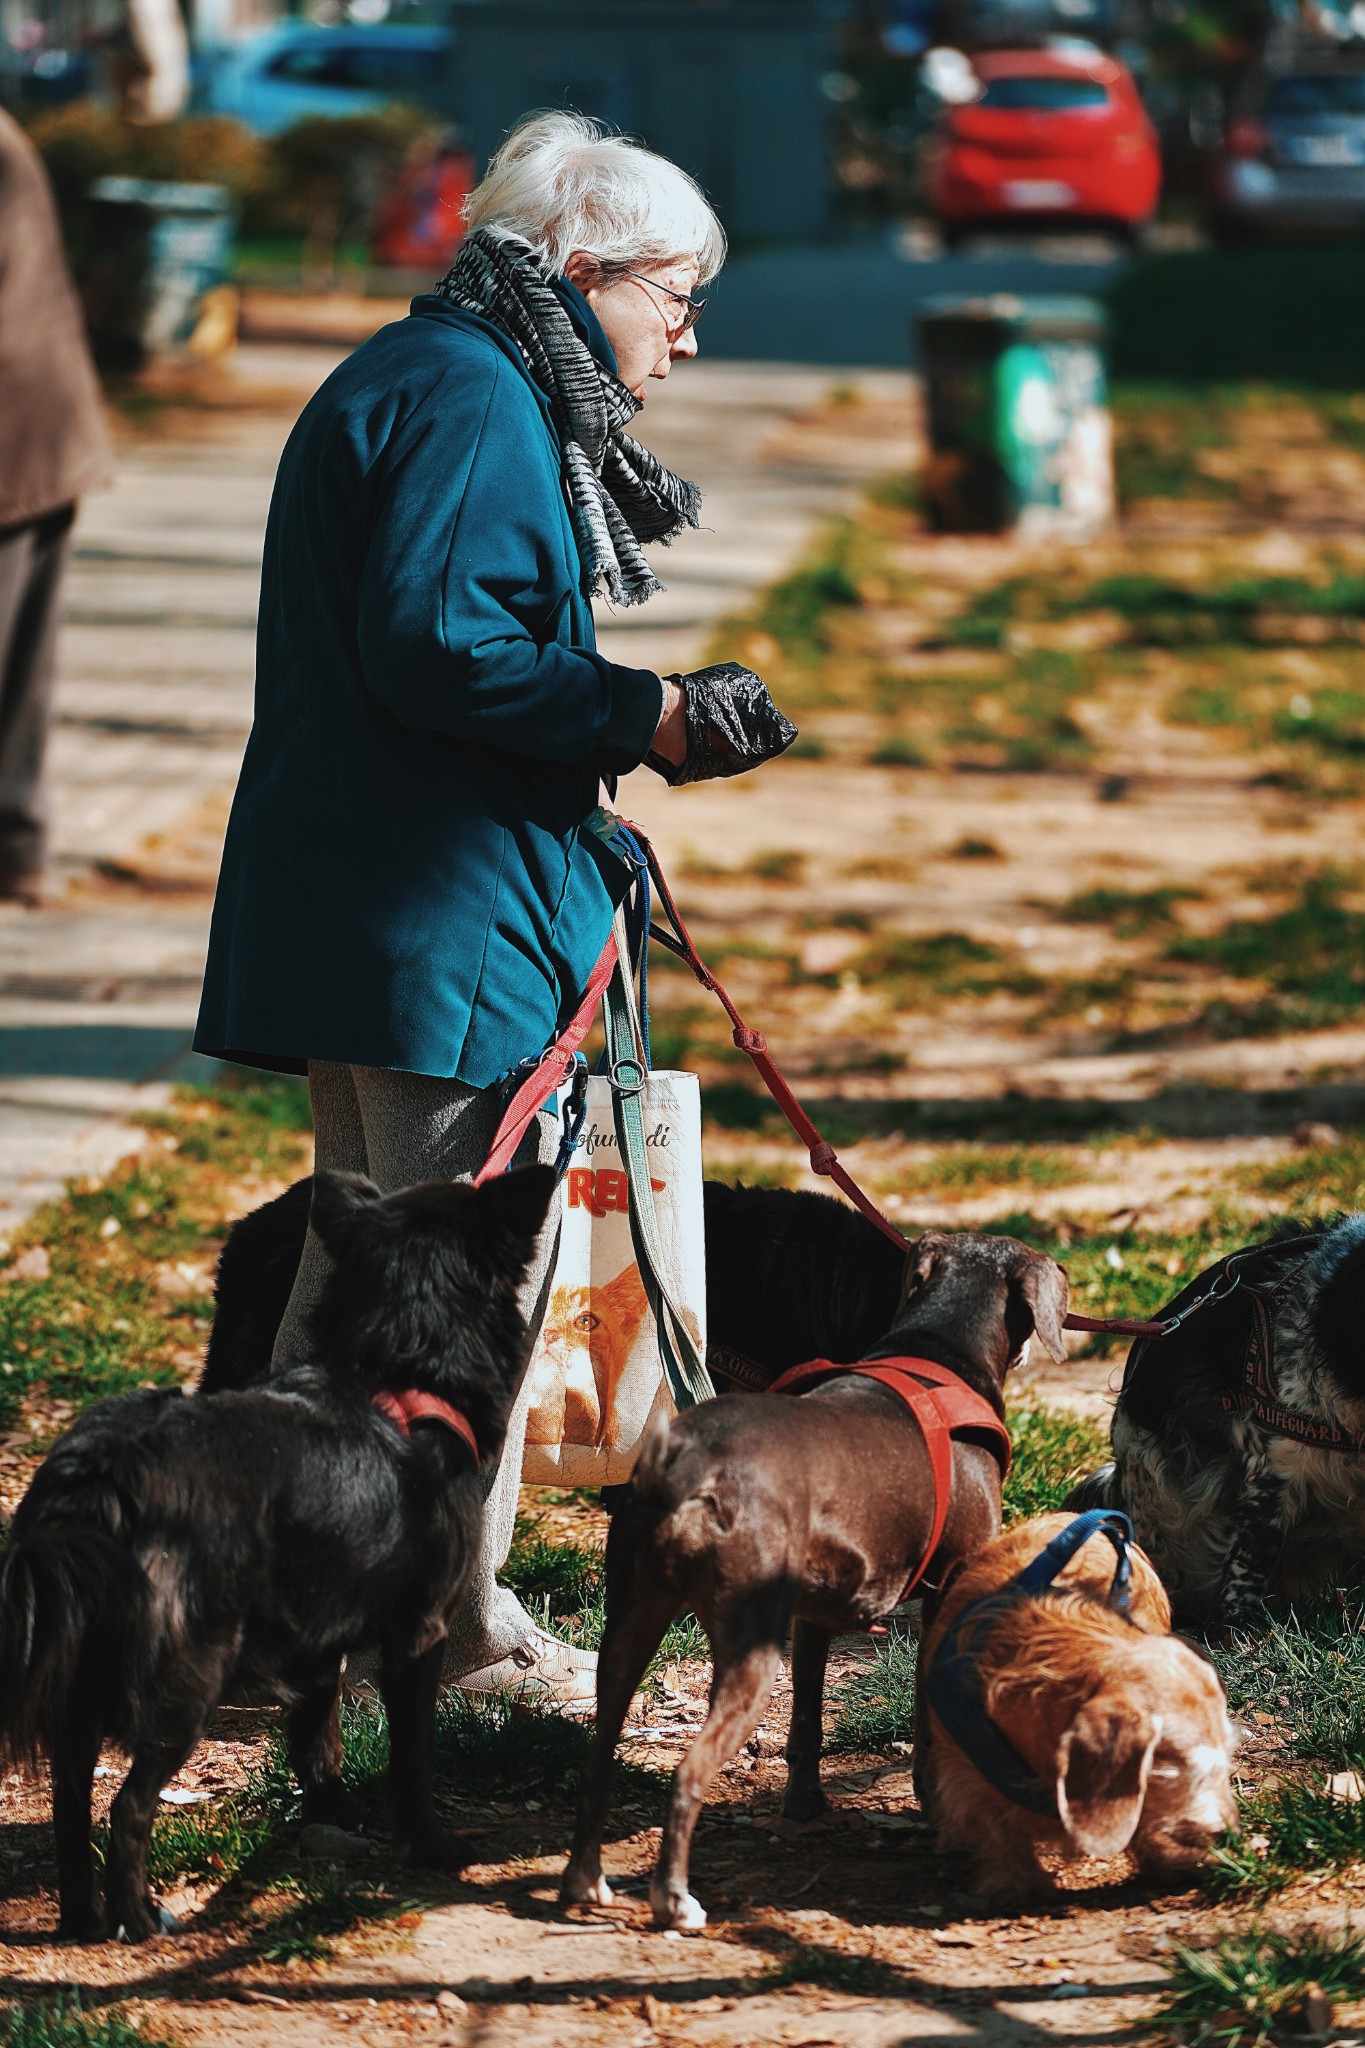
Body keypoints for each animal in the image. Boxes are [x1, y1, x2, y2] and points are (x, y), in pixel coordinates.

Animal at [1, 1163, 556, 1941]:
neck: (394, 1368)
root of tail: (104, 1470)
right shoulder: (417, 1630)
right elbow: (412, 1753)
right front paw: (430, 1845)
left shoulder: (318, 1625)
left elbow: (315, 1726)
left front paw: (332, 1809)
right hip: (188, 1674)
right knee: (129, 1805)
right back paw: (138, 1916)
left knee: (71, 1792)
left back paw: (84, 1915)